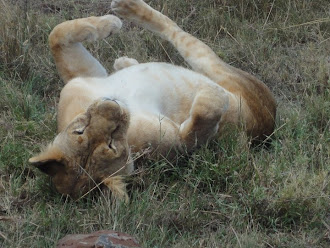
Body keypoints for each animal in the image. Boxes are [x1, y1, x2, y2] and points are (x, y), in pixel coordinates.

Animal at [29, 0, 276, 201]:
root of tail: (268, 125)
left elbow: (57, 35)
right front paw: (213, 96)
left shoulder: (81, 79)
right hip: (217, 69)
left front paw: (108, 25)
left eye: (79, 130)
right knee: (179, 34)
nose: (111, 106)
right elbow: (199, 123)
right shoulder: (177, 145)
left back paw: (124, 45)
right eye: (111, 146)